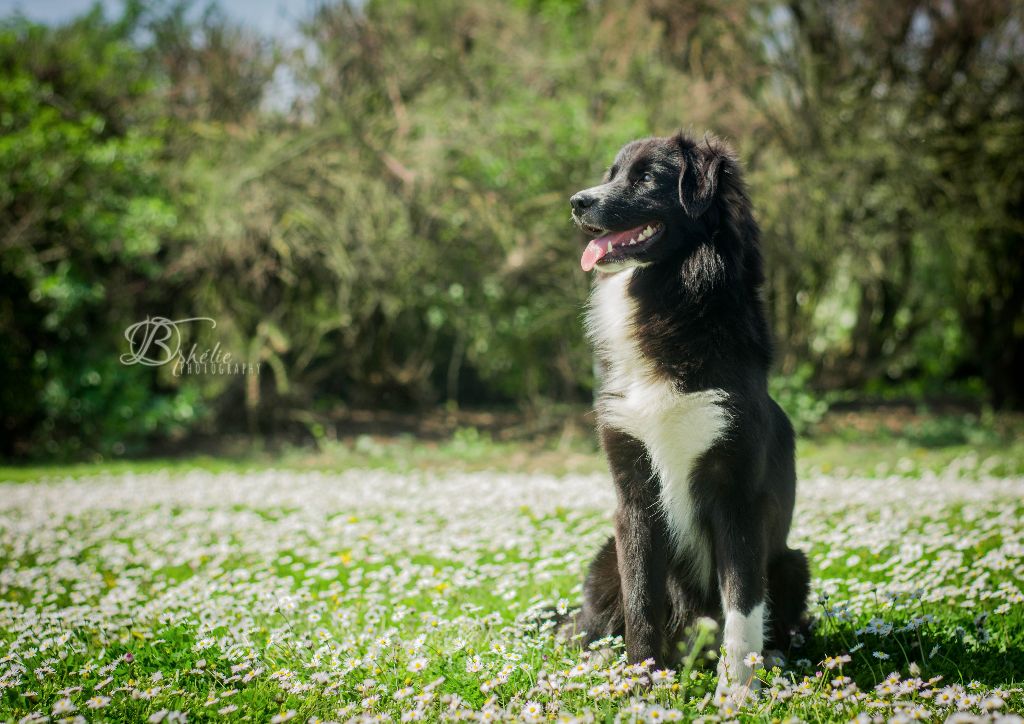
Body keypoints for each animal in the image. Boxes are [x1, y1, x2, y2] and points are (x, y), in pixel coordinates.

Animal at [561, 130, 806, 696]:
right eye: (611, 174)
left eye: (647, 179)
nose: (578, 203)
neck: (669, 299)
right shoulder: (634, 496)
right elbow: (640, 601)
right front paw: (640, 685)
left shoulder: (737, 494)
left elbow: (742, 604)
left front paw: (737, 692)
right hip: (603, 561)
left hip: (792, 564)